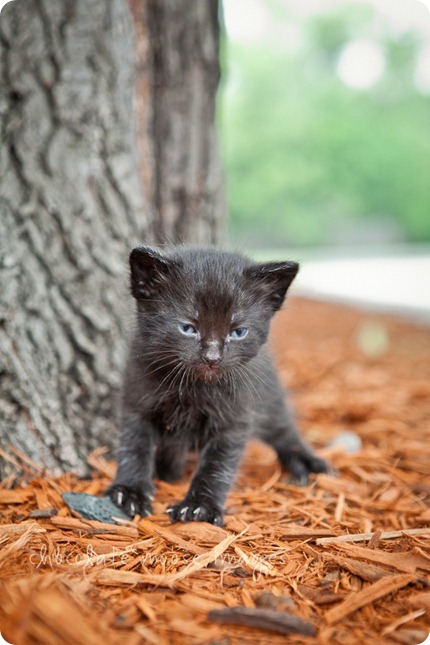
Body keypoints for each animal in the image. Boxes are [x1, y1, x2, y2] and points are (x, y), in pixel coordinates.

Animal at [106, 247, 326, 524]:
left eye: (238, 332)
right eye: (187, 328)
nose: (212, 357)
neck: (192, 389)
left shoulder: (235, 418)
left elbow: (217, 465)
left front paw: (199, 506)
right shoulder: (137, 401)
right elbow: (134, 447)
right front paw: (130, 492)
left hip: (269, 396)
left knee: (284, 431)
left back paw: (307, 462)